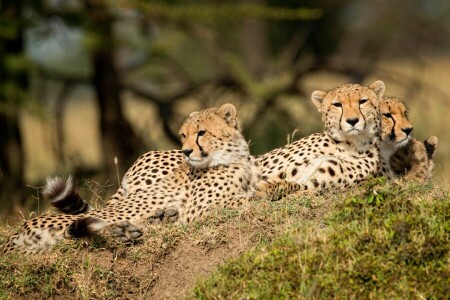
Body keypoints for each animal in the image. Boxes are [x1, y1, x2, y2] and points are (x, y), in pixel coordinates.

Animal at [4, 103, 298, 253]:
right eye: (183, 135)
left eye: (201, 133)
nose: (186, 151)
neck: (233, 157)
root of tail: (20, 230)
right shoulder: (198, 210)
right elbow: (241, 201)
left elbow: (271, 188)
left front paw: (284, 185)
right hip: (83, 221)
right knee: (82, 233)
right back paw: (128, 231)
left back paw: (156, 221)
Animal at [255, 79, 384, 192]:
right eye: (337, 104)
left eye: (363, 101)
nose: (352, 120)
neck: (349, 144)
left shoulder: (314, 182)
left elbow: (292, 184)